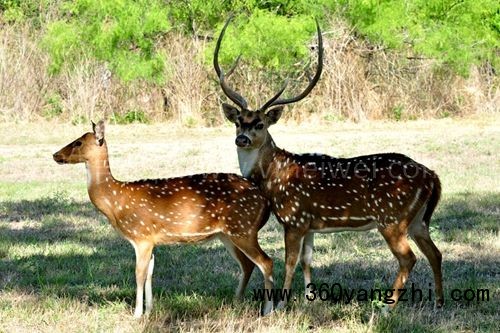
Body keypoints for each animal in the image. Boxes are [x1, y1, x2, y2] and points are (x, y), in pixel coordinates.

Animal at [52, 121, 276, 316]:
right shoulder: (151, 241)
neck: (115, 202)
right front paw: (150, 310)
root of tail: (265, 201)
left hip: (243, 228)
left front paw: (137, 314)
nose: (55, 155)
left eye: (78, 142)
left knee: (266, 261)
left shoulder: (141, 236)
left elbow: (139, 274)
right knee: (247, 264)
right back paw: (236, 302)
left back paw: (268, 311)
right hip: (227, 234)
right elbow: (150, 273)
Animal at [213, 17, 444, 308]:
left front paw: (282, 304)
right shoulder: (310, 223)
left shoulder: (294, 218)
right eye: (238, 122)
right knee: (435, 253)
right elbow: (306, 261)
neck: (273, 177)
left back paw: (387, 307)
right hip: (417, 220)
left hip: (392, 218)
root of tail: (433, 176)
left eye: (260, 124)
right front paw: (310, 299)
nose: (242, 139)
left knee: (409, 258)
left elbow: (289, 262)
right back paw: (439, 302)